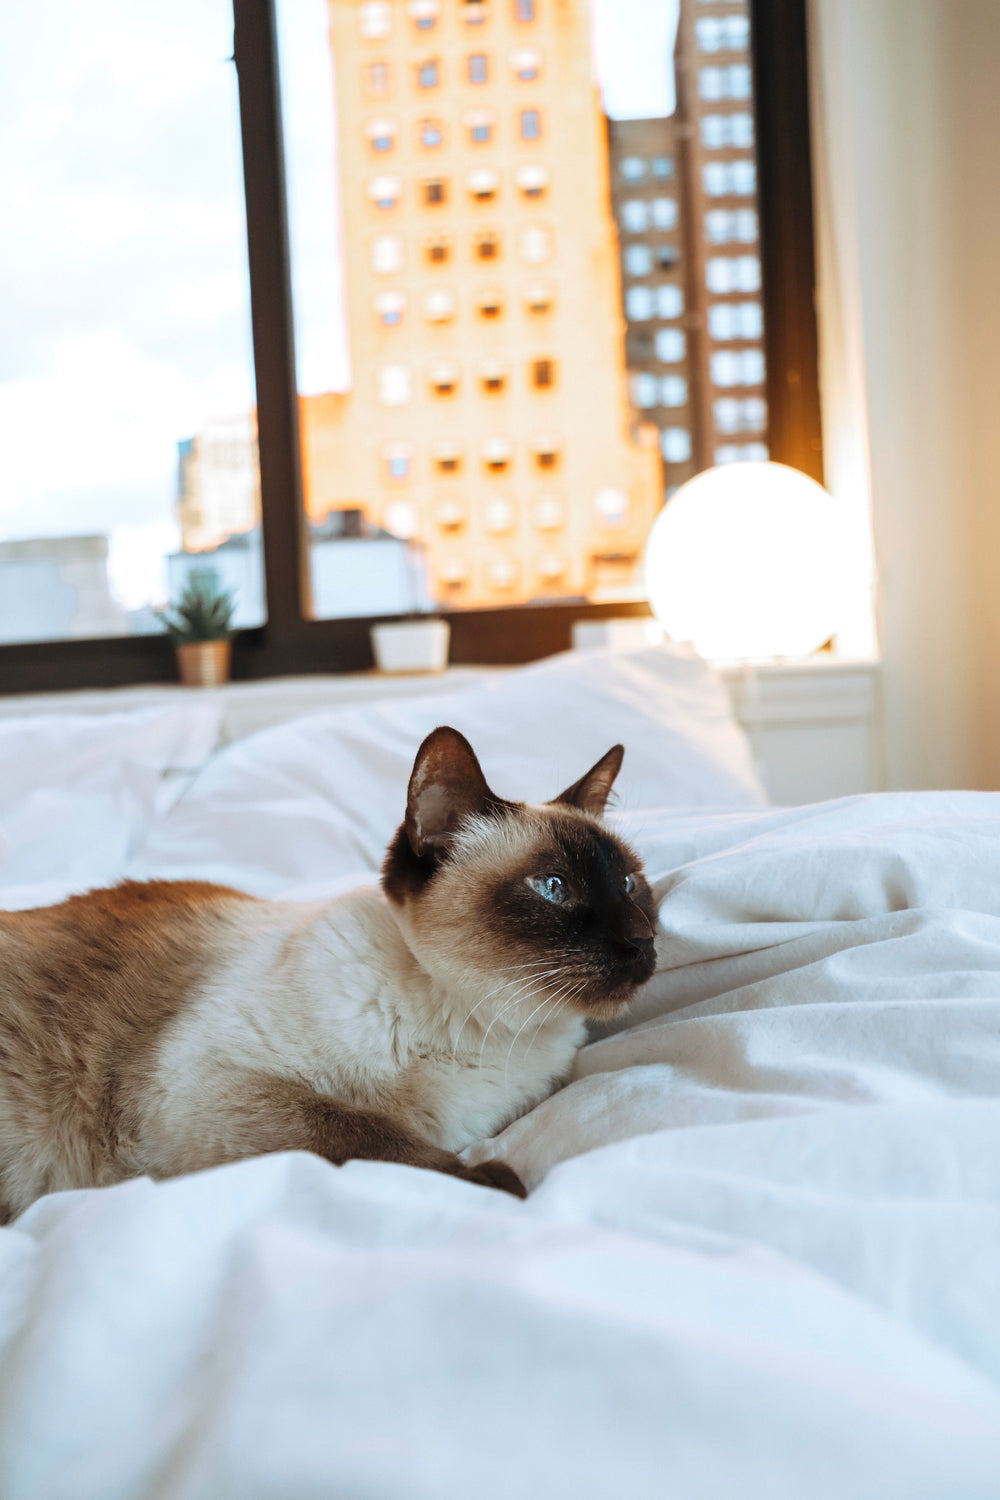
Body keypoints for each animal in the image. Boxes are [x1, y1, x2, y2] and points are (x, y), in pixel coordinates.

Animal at [0, 726, 656, 1218]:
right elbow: (366, 1132)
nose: (644, 940)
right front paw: (498, 1184)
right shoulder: (211, 1089)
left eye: (629, 883)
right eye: (554, 888)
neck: (473, 1027)